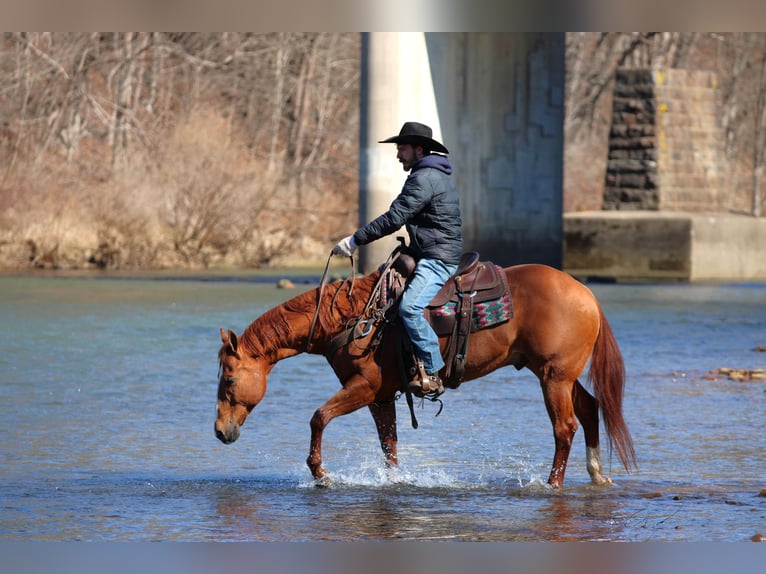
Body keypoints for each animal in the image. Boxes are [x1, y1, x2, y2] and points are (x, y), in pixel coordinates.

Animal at [215, 261, 636, 489]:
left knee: (564, 427)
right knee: (590, 408)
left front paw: (320, 473)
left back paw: (552, 484)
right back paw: (597, 474)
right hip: (558, 374)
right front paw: (393, 481)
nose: (220, 431)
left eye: (229, 380)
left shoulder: (365, 387)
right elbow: (389, 444)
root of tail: (585, 292)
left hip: (553, 377)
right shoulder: (381, 396)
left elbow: (318, 418)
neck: (354, 318)